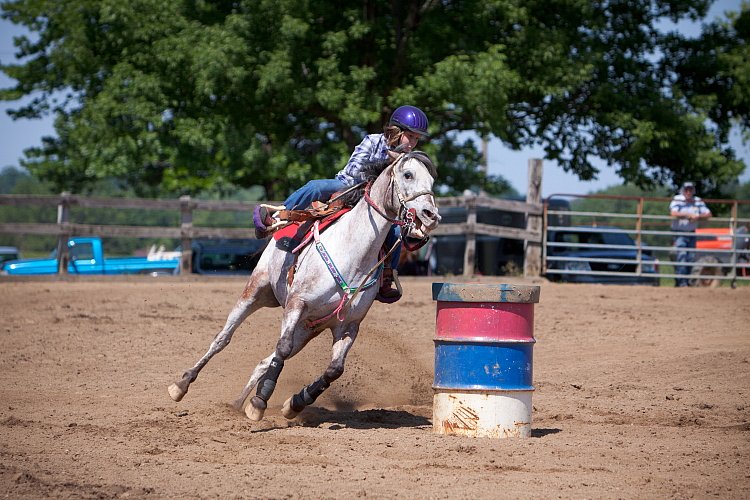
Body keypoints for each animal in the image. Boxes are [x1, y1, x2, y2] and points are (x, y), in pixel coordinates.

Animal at [167, 152, 440, 422]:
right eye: (408, 174)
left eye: (432, 181)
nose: (431, 215)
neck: (353, 253)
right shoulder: (297, 303)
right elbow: (282, 347)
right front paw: (260, 401)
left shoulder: (348, 325)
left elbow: (334, 369)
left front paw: (295, 403)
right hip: (257, 292)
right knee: (223, 339)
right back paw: (181, 385)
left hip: (307, 329)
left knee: (264, 361)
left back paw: (237, 404)